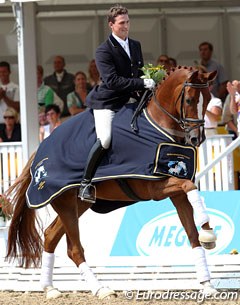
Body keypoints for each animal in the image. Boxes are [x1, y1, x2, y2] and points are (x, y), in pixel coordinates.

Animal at [7, 66, 218, 296]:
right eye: (189, 100)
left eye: (208, 99)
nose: (197, 139)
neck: (158, 126)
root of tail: (40, 150)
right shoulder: (154, 187)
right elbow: (190, 186)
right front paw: (208, 231)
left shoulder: (176, 193)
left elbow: (192, 232)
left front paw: (207, 283)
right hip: (65, 203)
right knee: (74, 249)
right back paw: (99, 289)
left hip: (77, 204)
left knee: (50, 235)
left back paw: (50, 288)